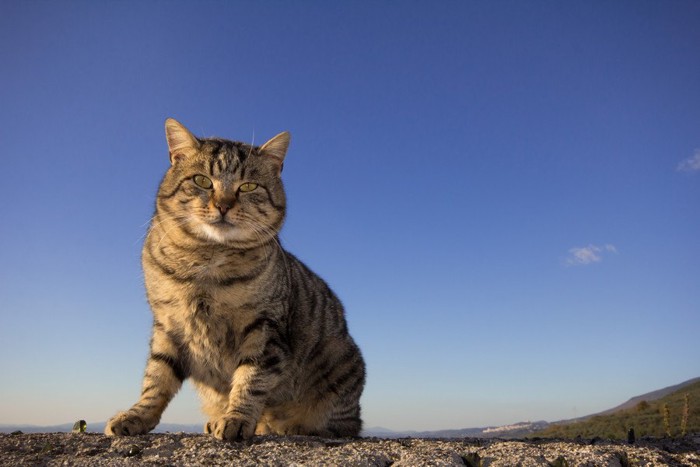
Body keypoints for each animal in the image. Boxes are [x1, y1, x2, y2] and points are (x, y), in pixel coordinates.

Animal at [106, 119, 366, 440]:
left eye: (248, 186)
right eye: (202, 181)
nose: (223, 205)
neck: (205, 262)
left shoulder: (264, 329)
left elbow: (250, 380)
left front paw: (237, 418)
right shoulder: (167, 324)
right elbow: (156, 377)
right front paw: (137, 415)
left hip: (341, 364)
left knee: (343, 424)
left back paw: (292, 427)